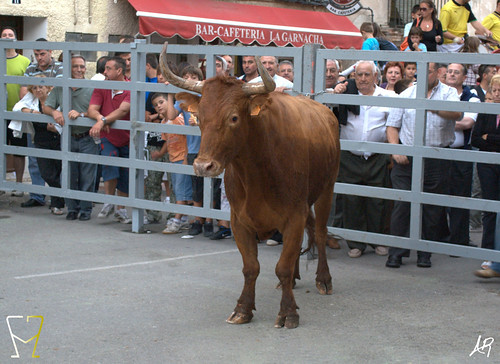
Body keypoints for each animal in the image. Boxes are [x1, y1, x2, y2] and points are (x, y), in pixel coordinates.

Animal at [160, 44, 340, 328]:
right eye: (199, 117)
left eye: (234, 117)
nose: (203, 166)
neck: (258, 171)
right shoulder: (239, 220)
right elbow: (251, 267)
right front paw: (243, 308)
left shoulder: (294, 215)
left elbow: (282, 266)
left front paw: (288, 312)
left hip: (326, 189)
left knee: (320, 233)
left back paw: (323, 279)